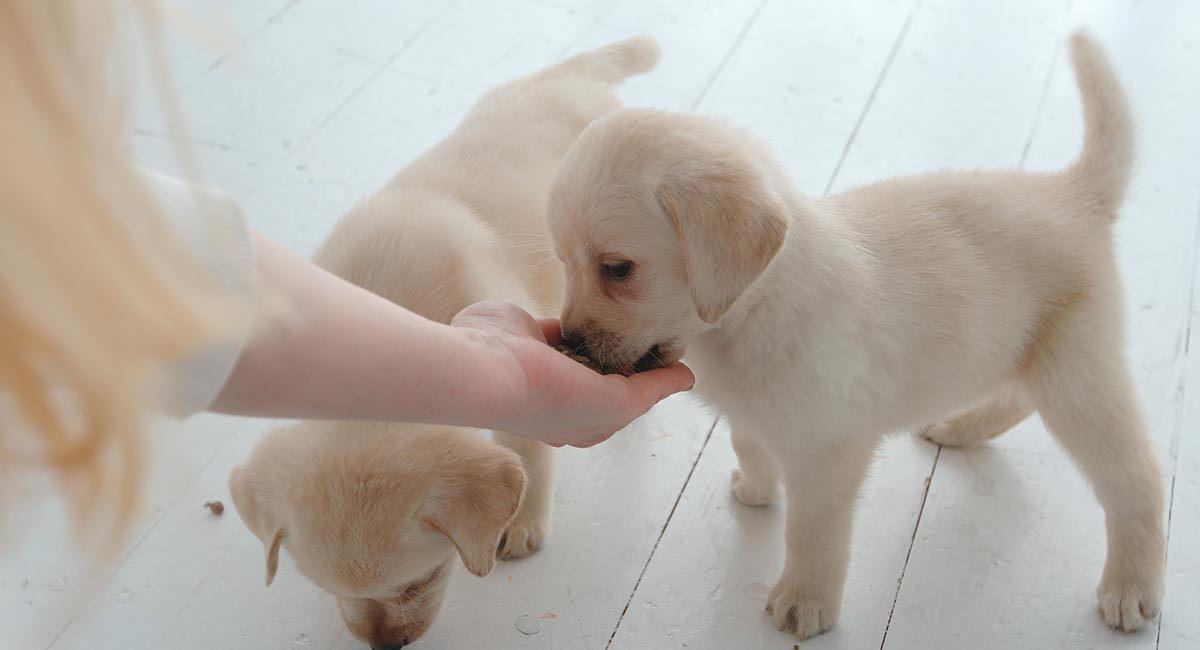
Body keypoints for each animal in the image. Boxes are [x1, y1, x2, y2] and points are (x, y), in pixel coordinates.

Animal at [229, 36, 662, 650]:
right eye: (323, 587)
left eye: (424, 579)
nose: (386, 647)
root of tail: (573, 74)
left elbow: (529, 456)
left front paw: (523, 521)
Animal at [544, 34, 1161, 642]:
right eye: (564, 264)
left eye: (617, 268)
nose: (571, 341)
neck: (755, 312)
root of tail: (1074, 194)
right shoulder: (753, 412)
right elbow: (749, 442)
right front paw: (759, 488)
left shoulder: (830, 451)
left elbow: (812, 532)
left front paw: (805, 601)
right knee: (1015, 398)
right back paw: (962, 427)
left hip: (1076, 376)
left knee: (1138, 481)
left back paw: (1131, 587)